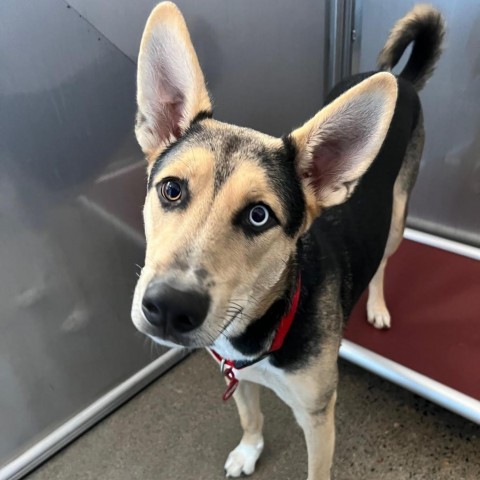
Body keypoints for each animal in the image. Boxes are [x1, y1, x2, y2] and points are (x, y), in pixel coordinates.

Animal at [129, 2, 444, 476]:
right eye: (171, 189)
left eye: (259, 216)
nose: (168, 307)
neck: (265, 318)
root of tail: (398, 79)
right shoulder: (237, 375)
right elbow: (250, 416)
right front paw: (249, 449)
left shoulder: (318, 415)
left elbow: (317, 468)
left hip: (397, 215)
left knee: (384, 263)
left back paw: (377, 306)